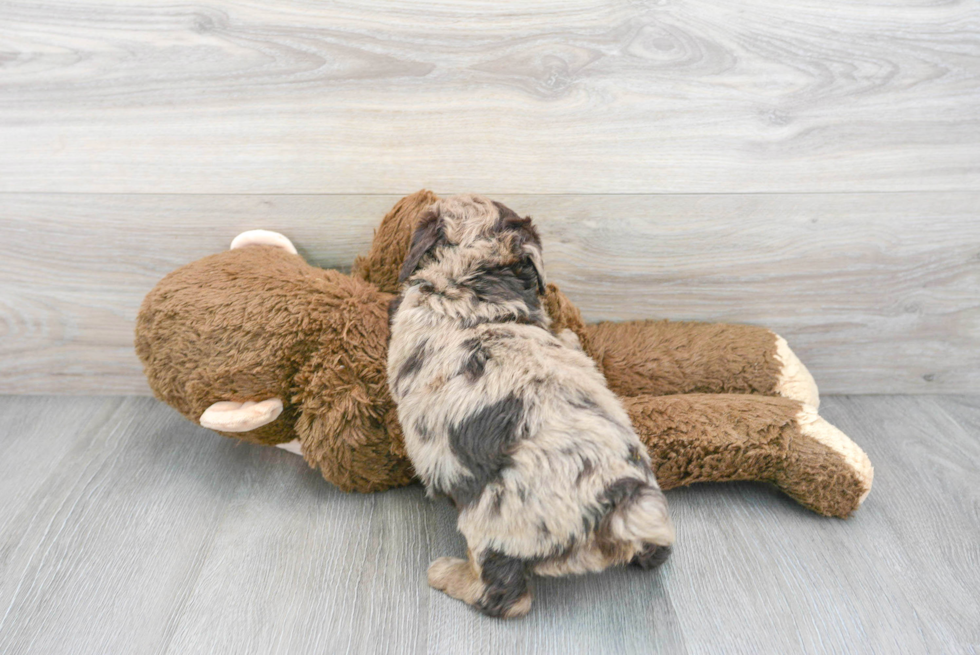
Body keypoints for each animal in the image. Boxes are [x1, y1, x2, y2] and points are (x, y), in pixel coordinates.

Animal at [386, 193, 676, 620]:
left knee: (505, 596)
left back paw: (448, 574)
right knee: (657, 552)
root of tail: (616, 506)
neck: (476, 284)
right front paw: (570, 336)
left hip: (492, 524)